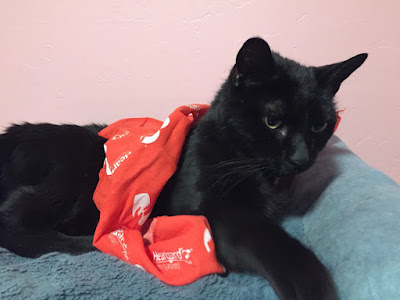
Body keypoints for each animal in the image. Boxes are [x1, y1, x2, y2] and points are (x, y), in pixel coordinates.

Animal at [0, 38, 368, 300]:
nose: (301, 158)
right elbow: (266, 237)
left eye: (320, 125)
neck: (245, 163)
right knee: (12, 217)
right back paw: (86, 243)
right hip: (77, 171)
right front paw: (312, 283)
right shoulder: (205, 212)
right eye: (273, 121)